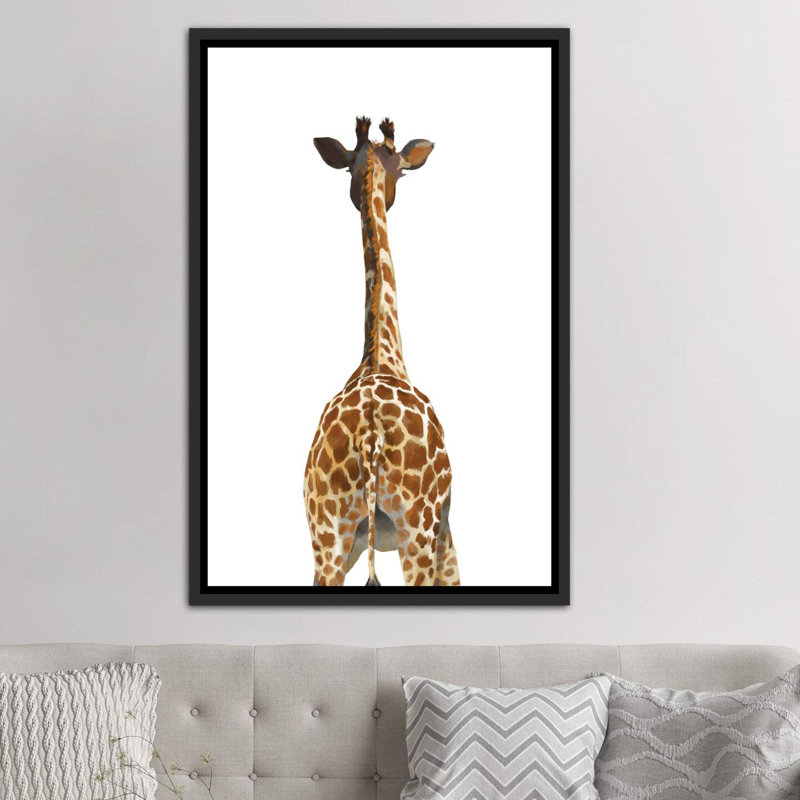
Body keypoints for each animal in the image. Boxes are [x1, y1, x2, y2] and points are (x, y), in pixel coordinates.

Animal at [303, 116, 461, 588]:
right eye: (403, 172)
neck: (383, 355)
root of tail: (370, 436)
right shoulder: (448, 532)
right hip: (418, 529)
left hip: (327, 538)